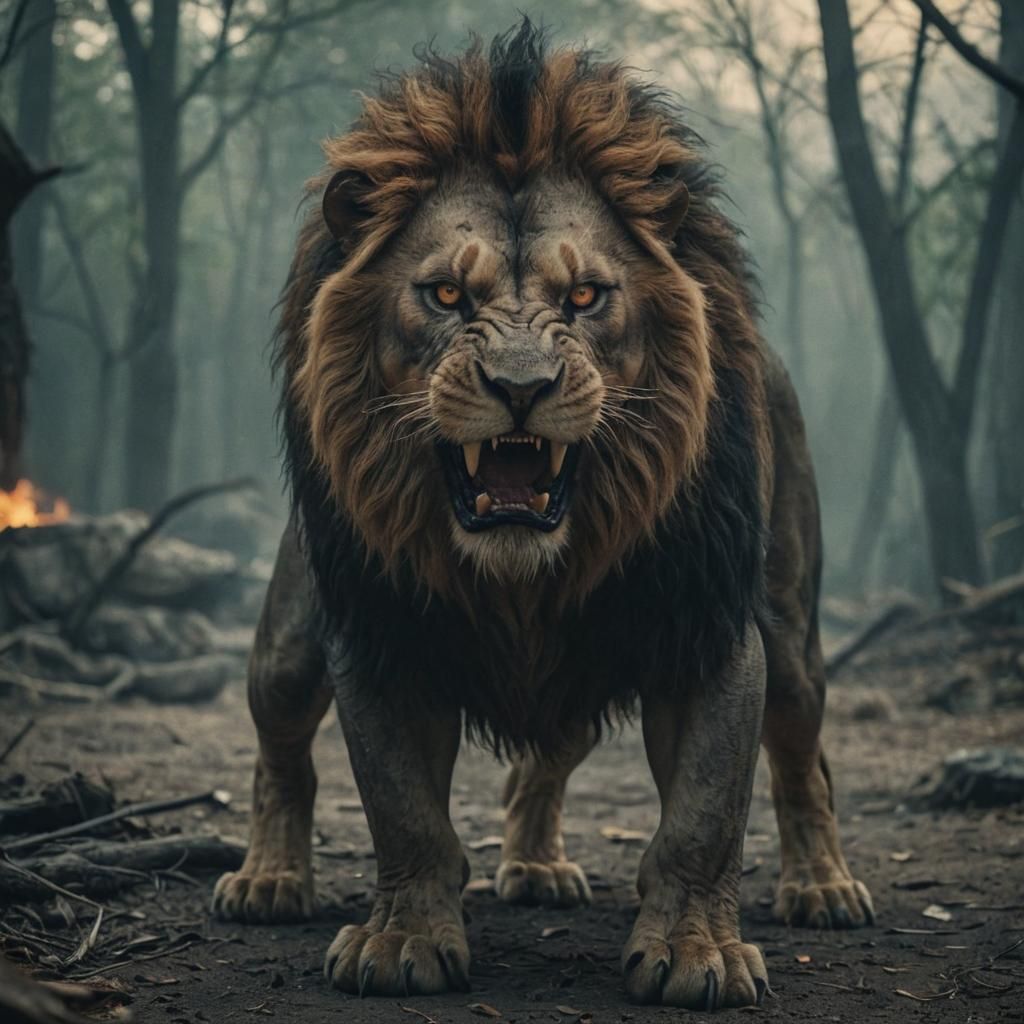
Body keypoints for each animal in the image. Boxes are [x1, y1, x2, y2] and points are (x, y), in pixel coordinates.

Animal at [211, 22, 874, 1010]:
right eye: (447, 295)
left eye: (586, 296)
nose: (521, 388)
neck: (526, 575)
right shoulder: (377, 631)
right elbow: (403, 811)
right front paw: (401, 941)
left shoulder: (712, 629)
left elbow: (704, 816)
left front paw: (695, 952)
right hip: (292, 642)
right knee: (285, 747)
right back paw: (274, 879)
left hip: (790, 635)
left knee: (799, 757)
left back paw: (820, 886)